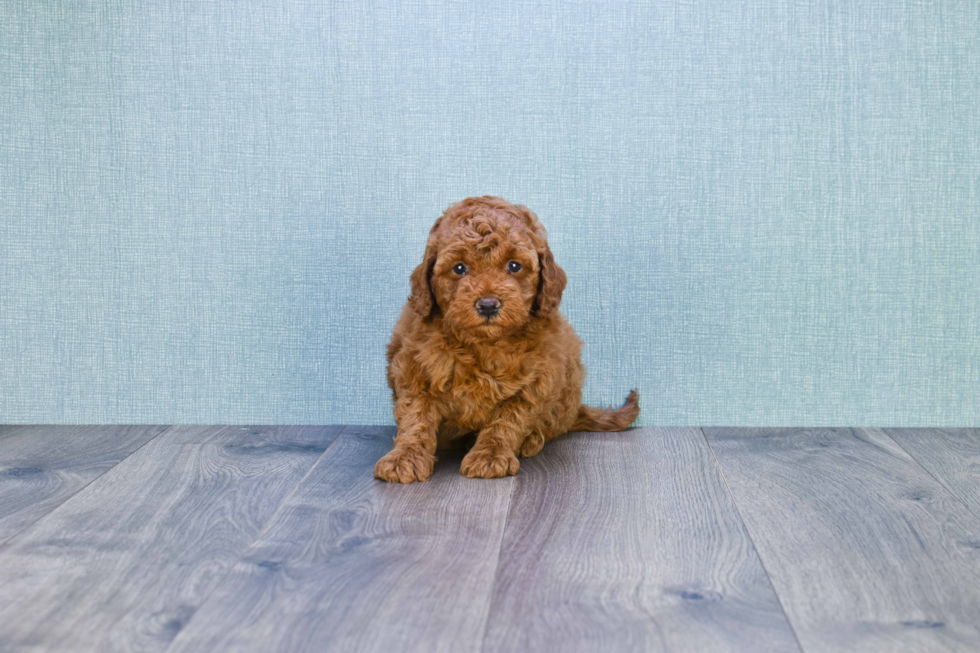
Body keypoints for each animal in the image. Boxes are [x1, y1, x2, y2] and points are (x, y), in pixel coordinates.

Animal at [372, 196, 640, 482]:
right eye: (459, 268)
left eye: (514, 265)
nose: (488, 304)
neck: (483, 344)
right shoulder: (413, 369)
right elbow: (416, 416)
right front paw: (404, 458)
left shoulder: (537, 380)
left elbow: (507, 420)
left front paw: (489, 456)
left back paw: (531, 440)